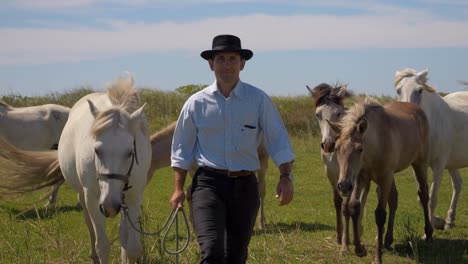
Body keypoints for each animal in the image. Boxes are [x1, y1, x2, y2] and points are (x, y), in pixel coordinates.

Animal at [0, 75, 151, 264]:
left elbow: (131, 247)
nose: (109, 205)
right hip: (84, 197)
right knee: (89, 224)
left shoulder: (134, 197)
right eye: (96, 150)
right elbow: (102, 246)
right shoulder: (93, 199)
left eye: (130, 152)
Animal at [330, 97, 434, 264]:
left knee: (423, 195)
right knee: (394, 199)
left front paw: (378, 257)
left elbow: (380, 215)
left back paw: (429, 233)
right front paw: (360, 249)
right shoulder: (360, 177)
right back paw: (387, 240)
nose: (344, 186)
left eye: (359, 149)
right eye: (336, 148)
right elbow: (353, 207)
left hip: (419, 163)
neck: (377, 143)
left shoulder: (385, 178)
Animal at [394, 68, 468, 231]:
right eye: (398, 90)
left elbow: (432, 197)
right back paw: (449, 221)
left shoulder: (439, 165)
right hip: (452, 163)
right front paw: (436, 221)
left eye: (420, 90)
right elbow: (422, 196)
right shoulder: (418, 165)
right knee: (458, 184)